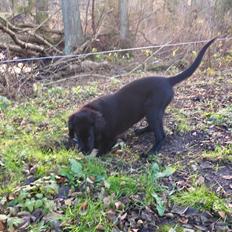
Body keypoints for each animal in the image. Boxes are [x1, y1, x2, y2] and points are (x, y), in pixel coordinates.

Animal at [68, 37, 217, 155]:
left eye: (89, 135)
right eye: (77, 135)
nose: (84, 151)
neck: (95, 111)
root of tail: (167, 80)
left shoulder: (110, 139)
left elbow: (101, 149)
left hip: (152, 109)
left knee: (161, 135)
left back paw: (151, 152)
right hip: (152, 111)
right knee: (154, 127)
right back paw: (140, 131)